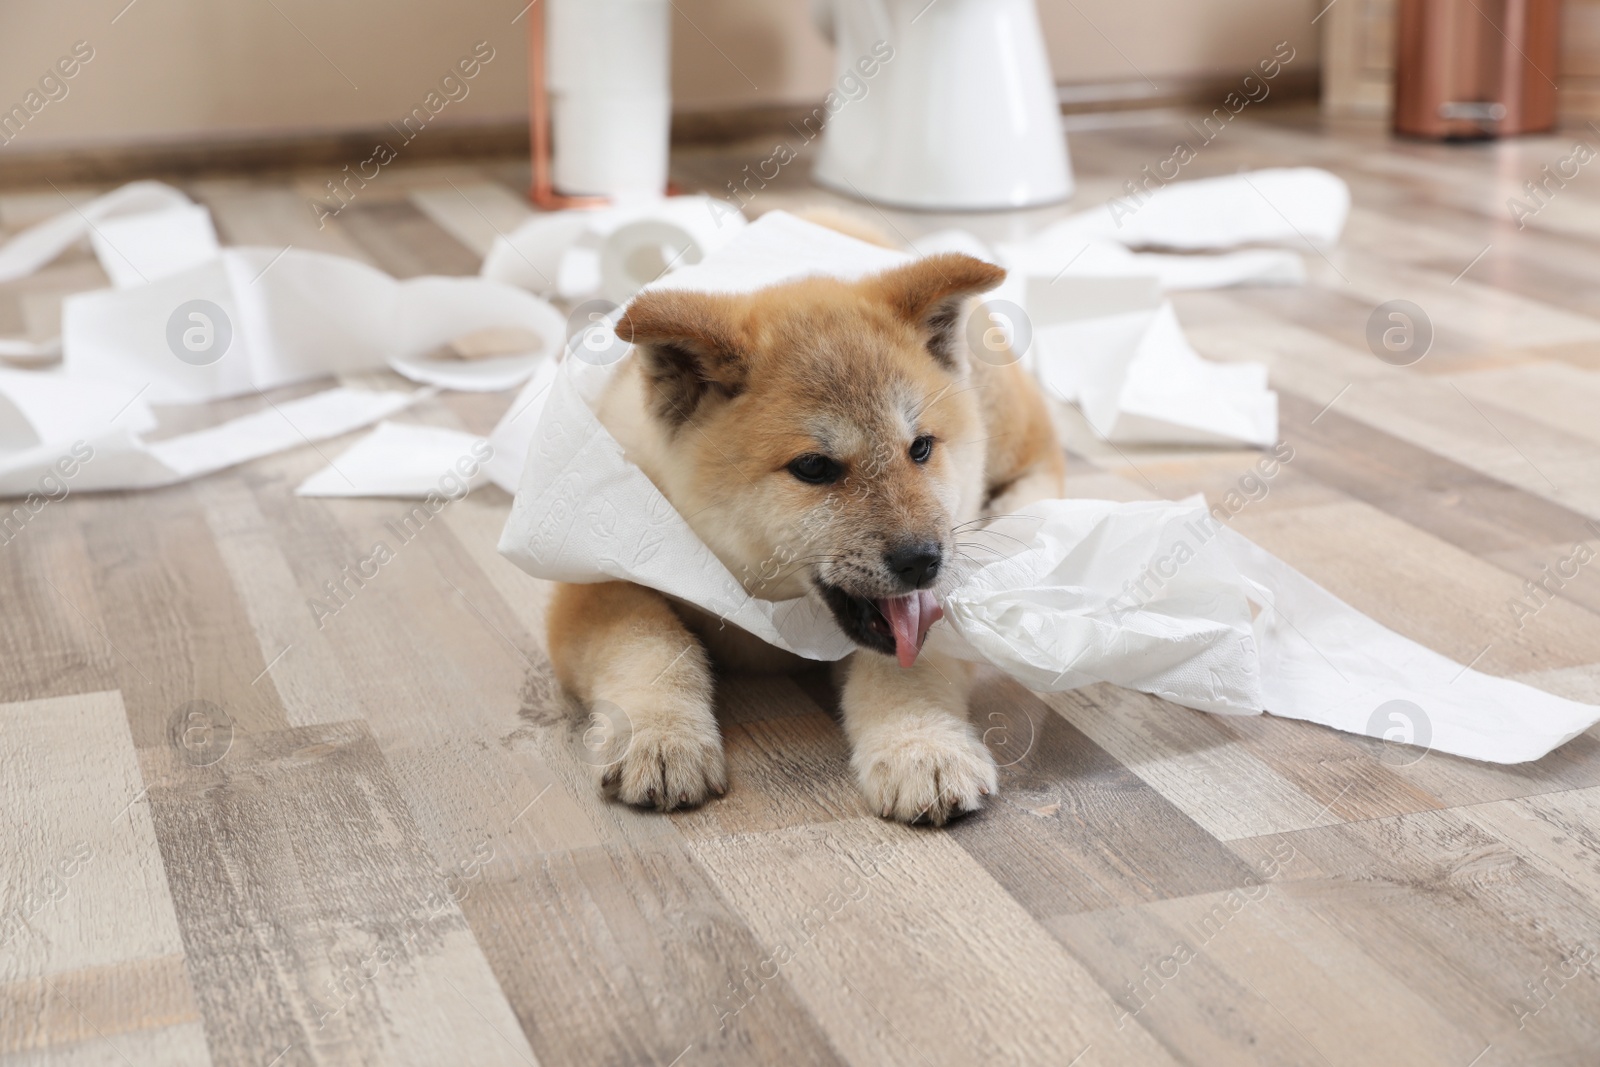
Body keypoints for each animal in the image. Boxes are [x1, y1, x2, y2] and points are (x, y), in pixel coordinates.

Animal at [547, 252, 1062, 825]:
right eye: (814, 467)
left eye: (921, 448)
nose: (923, 560)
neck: (772, 612)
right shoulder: (593, 578)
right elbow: (649, 641)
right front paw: (662, 736)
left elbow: (911, 671)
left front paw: (924, 747)